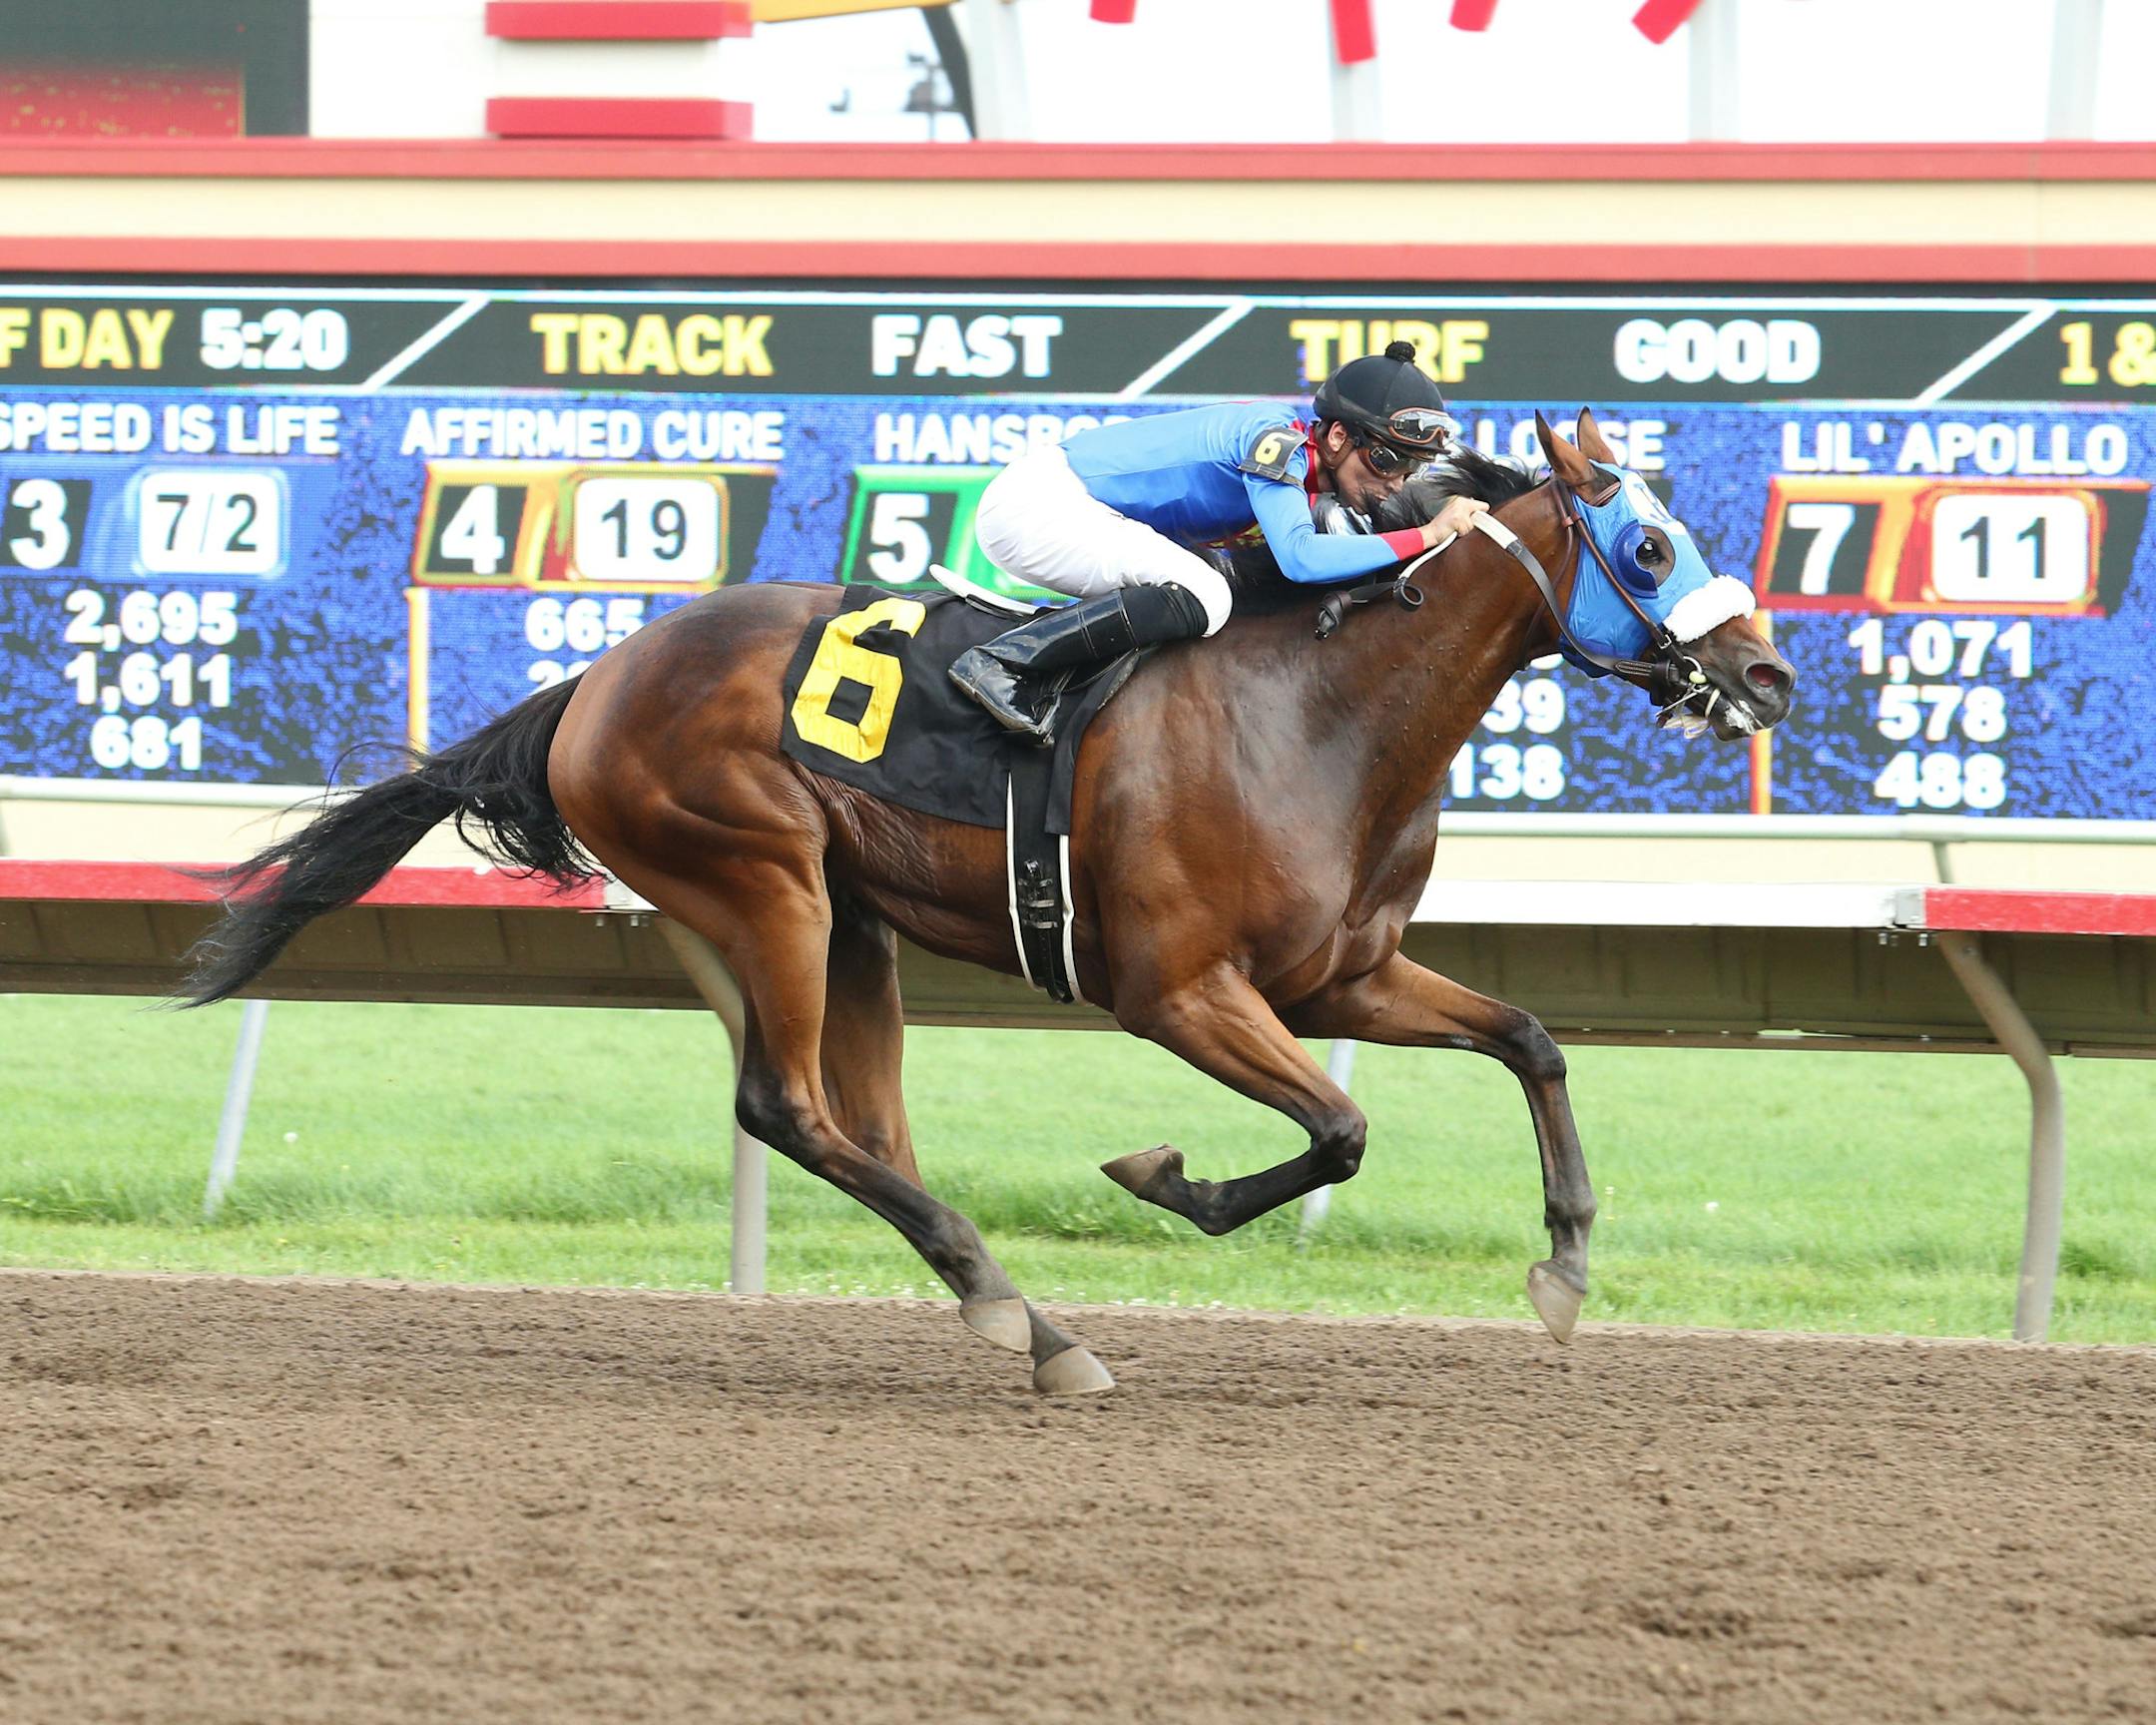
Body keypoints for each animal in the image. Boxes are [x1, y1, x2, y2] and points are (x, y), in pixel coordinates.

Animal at [180, 408, 1796, 1395]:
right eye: (1651, 546)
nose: (1770, 675)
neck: (1321, 714)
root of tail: (598, 676)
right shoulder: (1174, 992)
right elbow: (1337, 1131)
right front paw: (1164, 1175)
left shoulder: (1341, 977)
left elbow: (1528, 1039)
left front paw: (1567, 1265)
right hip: (762, 879)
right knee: (786, 1107)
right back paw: (1020, 1311)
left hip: (851, 918)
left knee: (867, 1124)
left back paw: (1022, 1316)